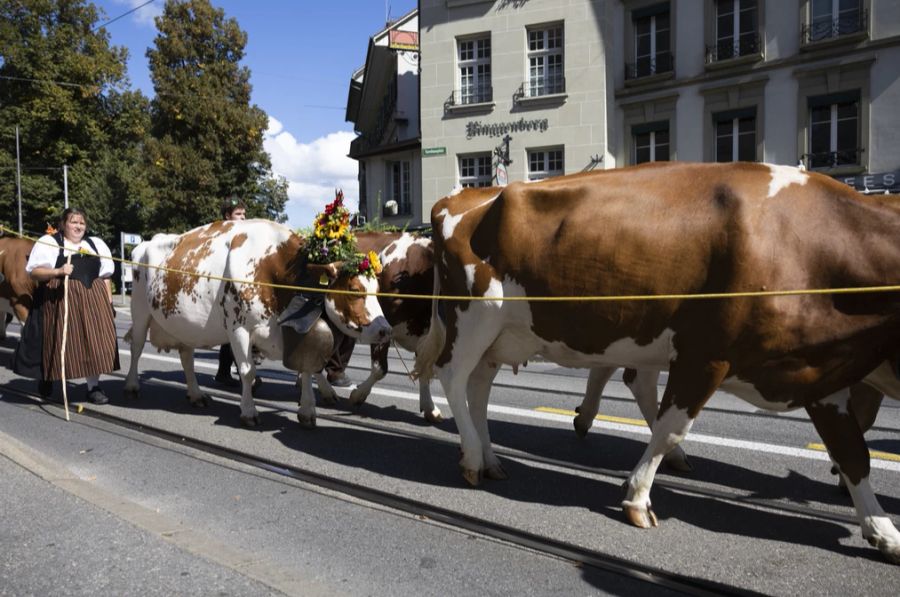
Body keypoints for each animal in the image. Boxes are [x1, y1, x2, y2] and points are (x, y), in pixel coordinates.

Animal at [123, 189, 390, 426]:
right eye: (354, 290)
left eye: (378, 288)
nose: (385, 330)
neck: (273, 270)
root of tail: (148, 241)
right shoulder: (238, 328)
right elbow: (247, 371)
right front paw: (249, 411)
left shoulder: (292, 332)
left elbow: (307, 368)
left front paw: (307, 411)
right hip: (140, 310)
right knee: (137, 346)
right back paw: (132, 385)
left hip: (184, 323)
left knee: (186, 356)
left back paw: (196, 394)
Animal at [416, 163, 900, 564]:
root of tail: (460, 197)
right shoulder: (705, 353)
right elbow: (671, 429)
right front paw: (636, 498)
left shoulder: (822, 373)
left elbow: (853, 453)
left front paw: (884, 532)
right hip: (476, 316)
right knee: (452, 377)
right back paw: (473, 459)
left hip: (503, 336)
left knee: (478, 390)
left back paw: (490, 458)